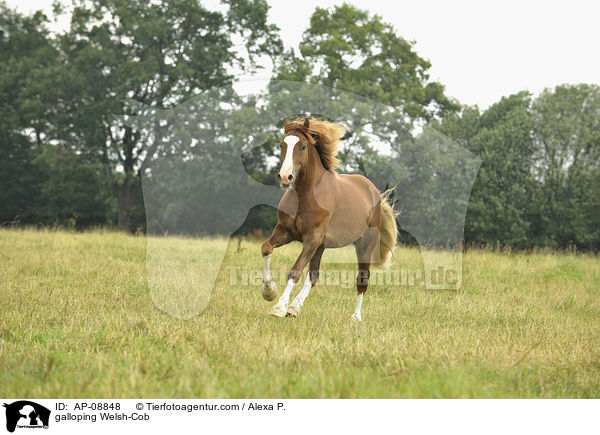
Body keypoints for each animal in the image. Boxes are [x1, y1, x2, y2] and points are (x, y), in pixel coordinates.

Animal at [258, 117, 396, 322]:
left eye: (303, 146)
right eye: (282, 144)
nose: (285, 177)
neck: (307, 195)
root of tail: (375, 193)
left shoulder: (312, 238)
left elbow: (295, 270)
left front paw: (279, 307)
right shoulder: (285, 232)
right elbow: (266, 248)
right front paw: (269, 292)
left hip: (364, 245)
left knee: (362, 280)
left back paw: (355, 317)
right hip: (321, 246)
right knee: (313, 276)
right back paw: (294, 308)